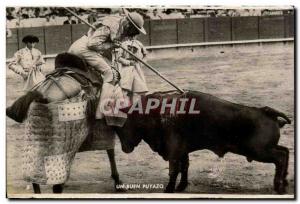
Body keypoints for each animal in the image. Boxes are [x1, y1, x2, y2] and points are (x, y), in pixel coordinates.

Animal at [7, 52, 123, 193]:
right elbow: (111, 152)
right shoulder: (105, 126)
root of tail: (41, 95)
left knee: (35, 178)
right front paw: (117, 181)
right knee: (55, 185)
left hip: (35, 142)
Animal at [113, 91, 292, 194]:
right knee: (285, 151)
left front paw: (169, 189)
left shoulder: (173, 151)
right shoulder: (182, 151)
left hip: (259, 151)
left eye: (124, 125)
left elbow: (173, 170)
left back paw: (279, 186)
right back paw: (284, 181)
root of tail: (266, 111)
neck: (157, 114)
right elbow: (184, 168)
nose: (124, 148)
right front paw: (181, 187)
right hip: (265, 149)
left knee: (280, 157)